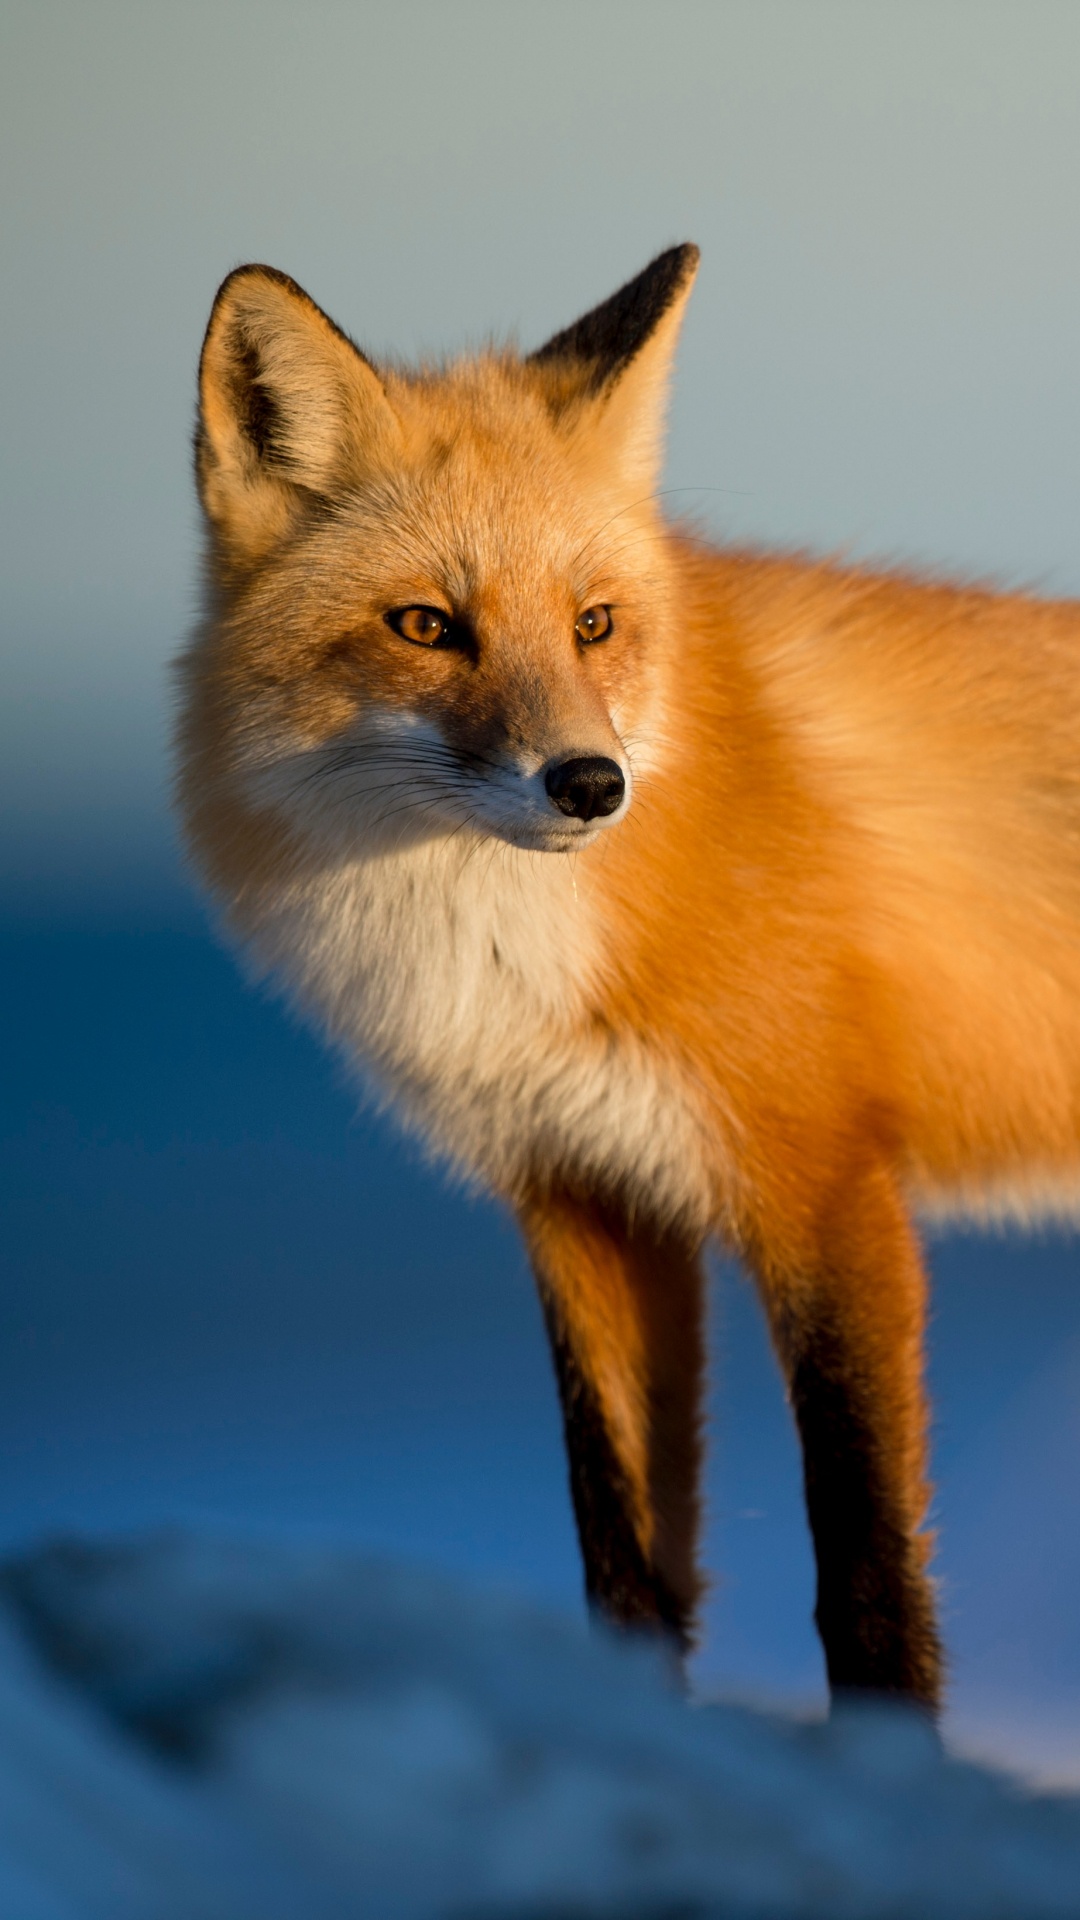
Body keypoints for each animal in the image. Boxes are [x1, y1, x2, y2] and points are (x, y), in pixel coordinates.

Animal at [176, 243, 1080, 1713]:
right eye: (426, 625)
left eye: (594, 624)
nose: (592, 784)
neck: (506, 963)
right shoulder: (585, 1196)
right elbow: (624, 1555)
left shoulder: (824, 1182)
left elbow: (866, 1567)